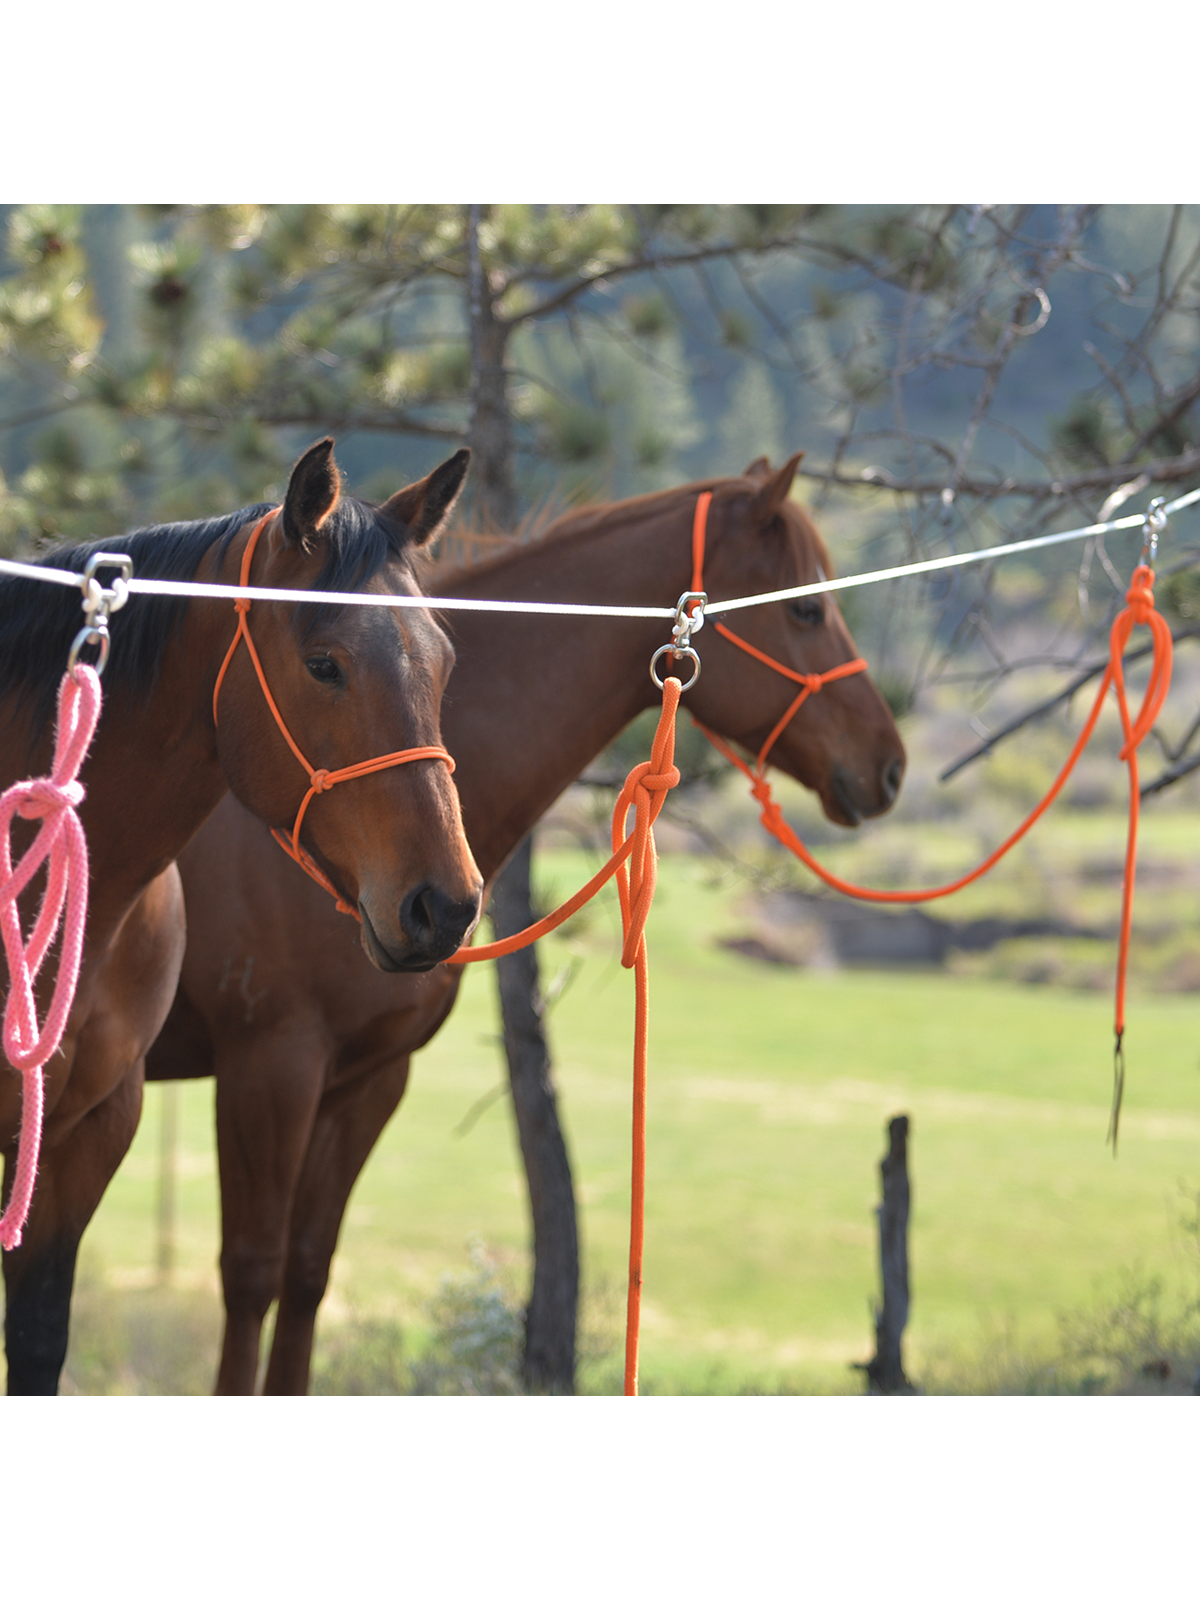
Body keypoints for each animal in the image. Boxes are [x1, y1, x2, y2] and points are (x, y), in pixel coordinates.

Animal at [145, 457, 908, 1395]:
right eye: (806, 610)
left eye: (444, 662)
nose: (889, 764)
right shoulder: (269, 1071)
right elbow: (251, 1274)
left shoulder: (366, 1082)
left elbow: (306, 1272)